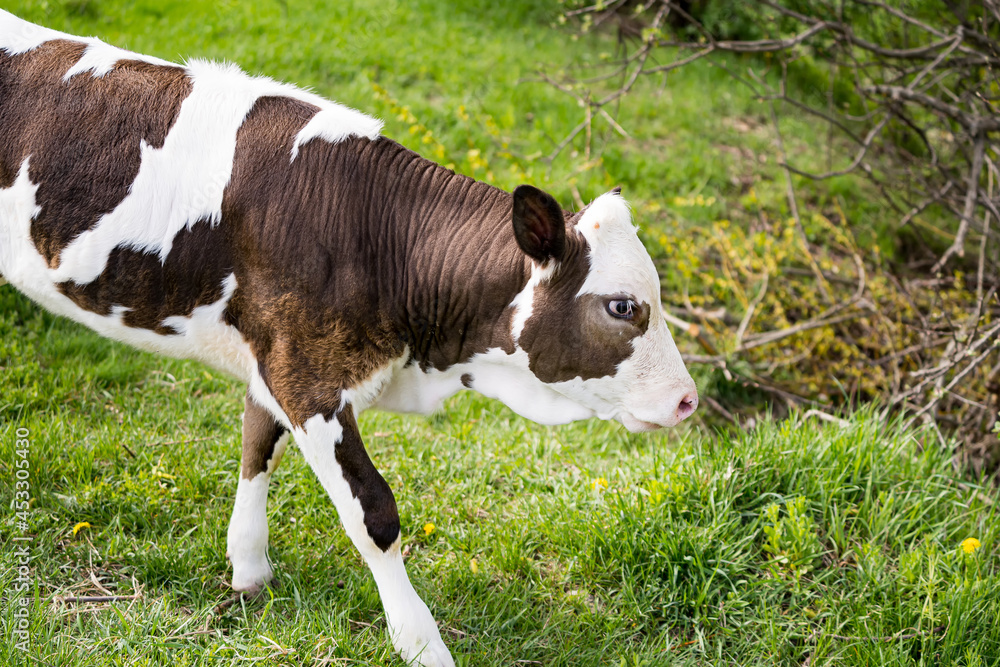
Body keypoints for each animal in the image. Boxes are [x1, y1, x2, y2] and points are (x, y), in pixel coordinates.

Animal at [1, 11, 696, 667]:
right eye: (623, 306)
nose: (688, 400)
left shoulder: (278, 357)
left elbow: (257, 446)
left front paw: (248, 572)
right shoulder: (307, 376)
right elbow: (373, 513)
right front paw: (421, 643)